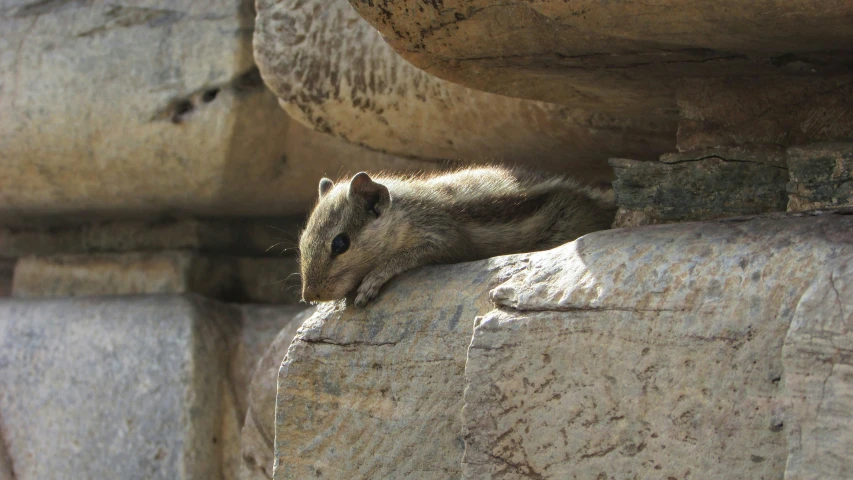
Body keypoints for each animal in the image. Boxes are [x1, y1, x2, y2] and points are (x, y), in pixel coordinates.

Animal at [298, 167, 612, 306]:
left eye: (340, 243)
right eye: (301, 242)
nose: (309, 296)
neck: (404, 212)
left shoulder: (443, 234)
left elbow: (413, 255)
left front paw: (374, 278)